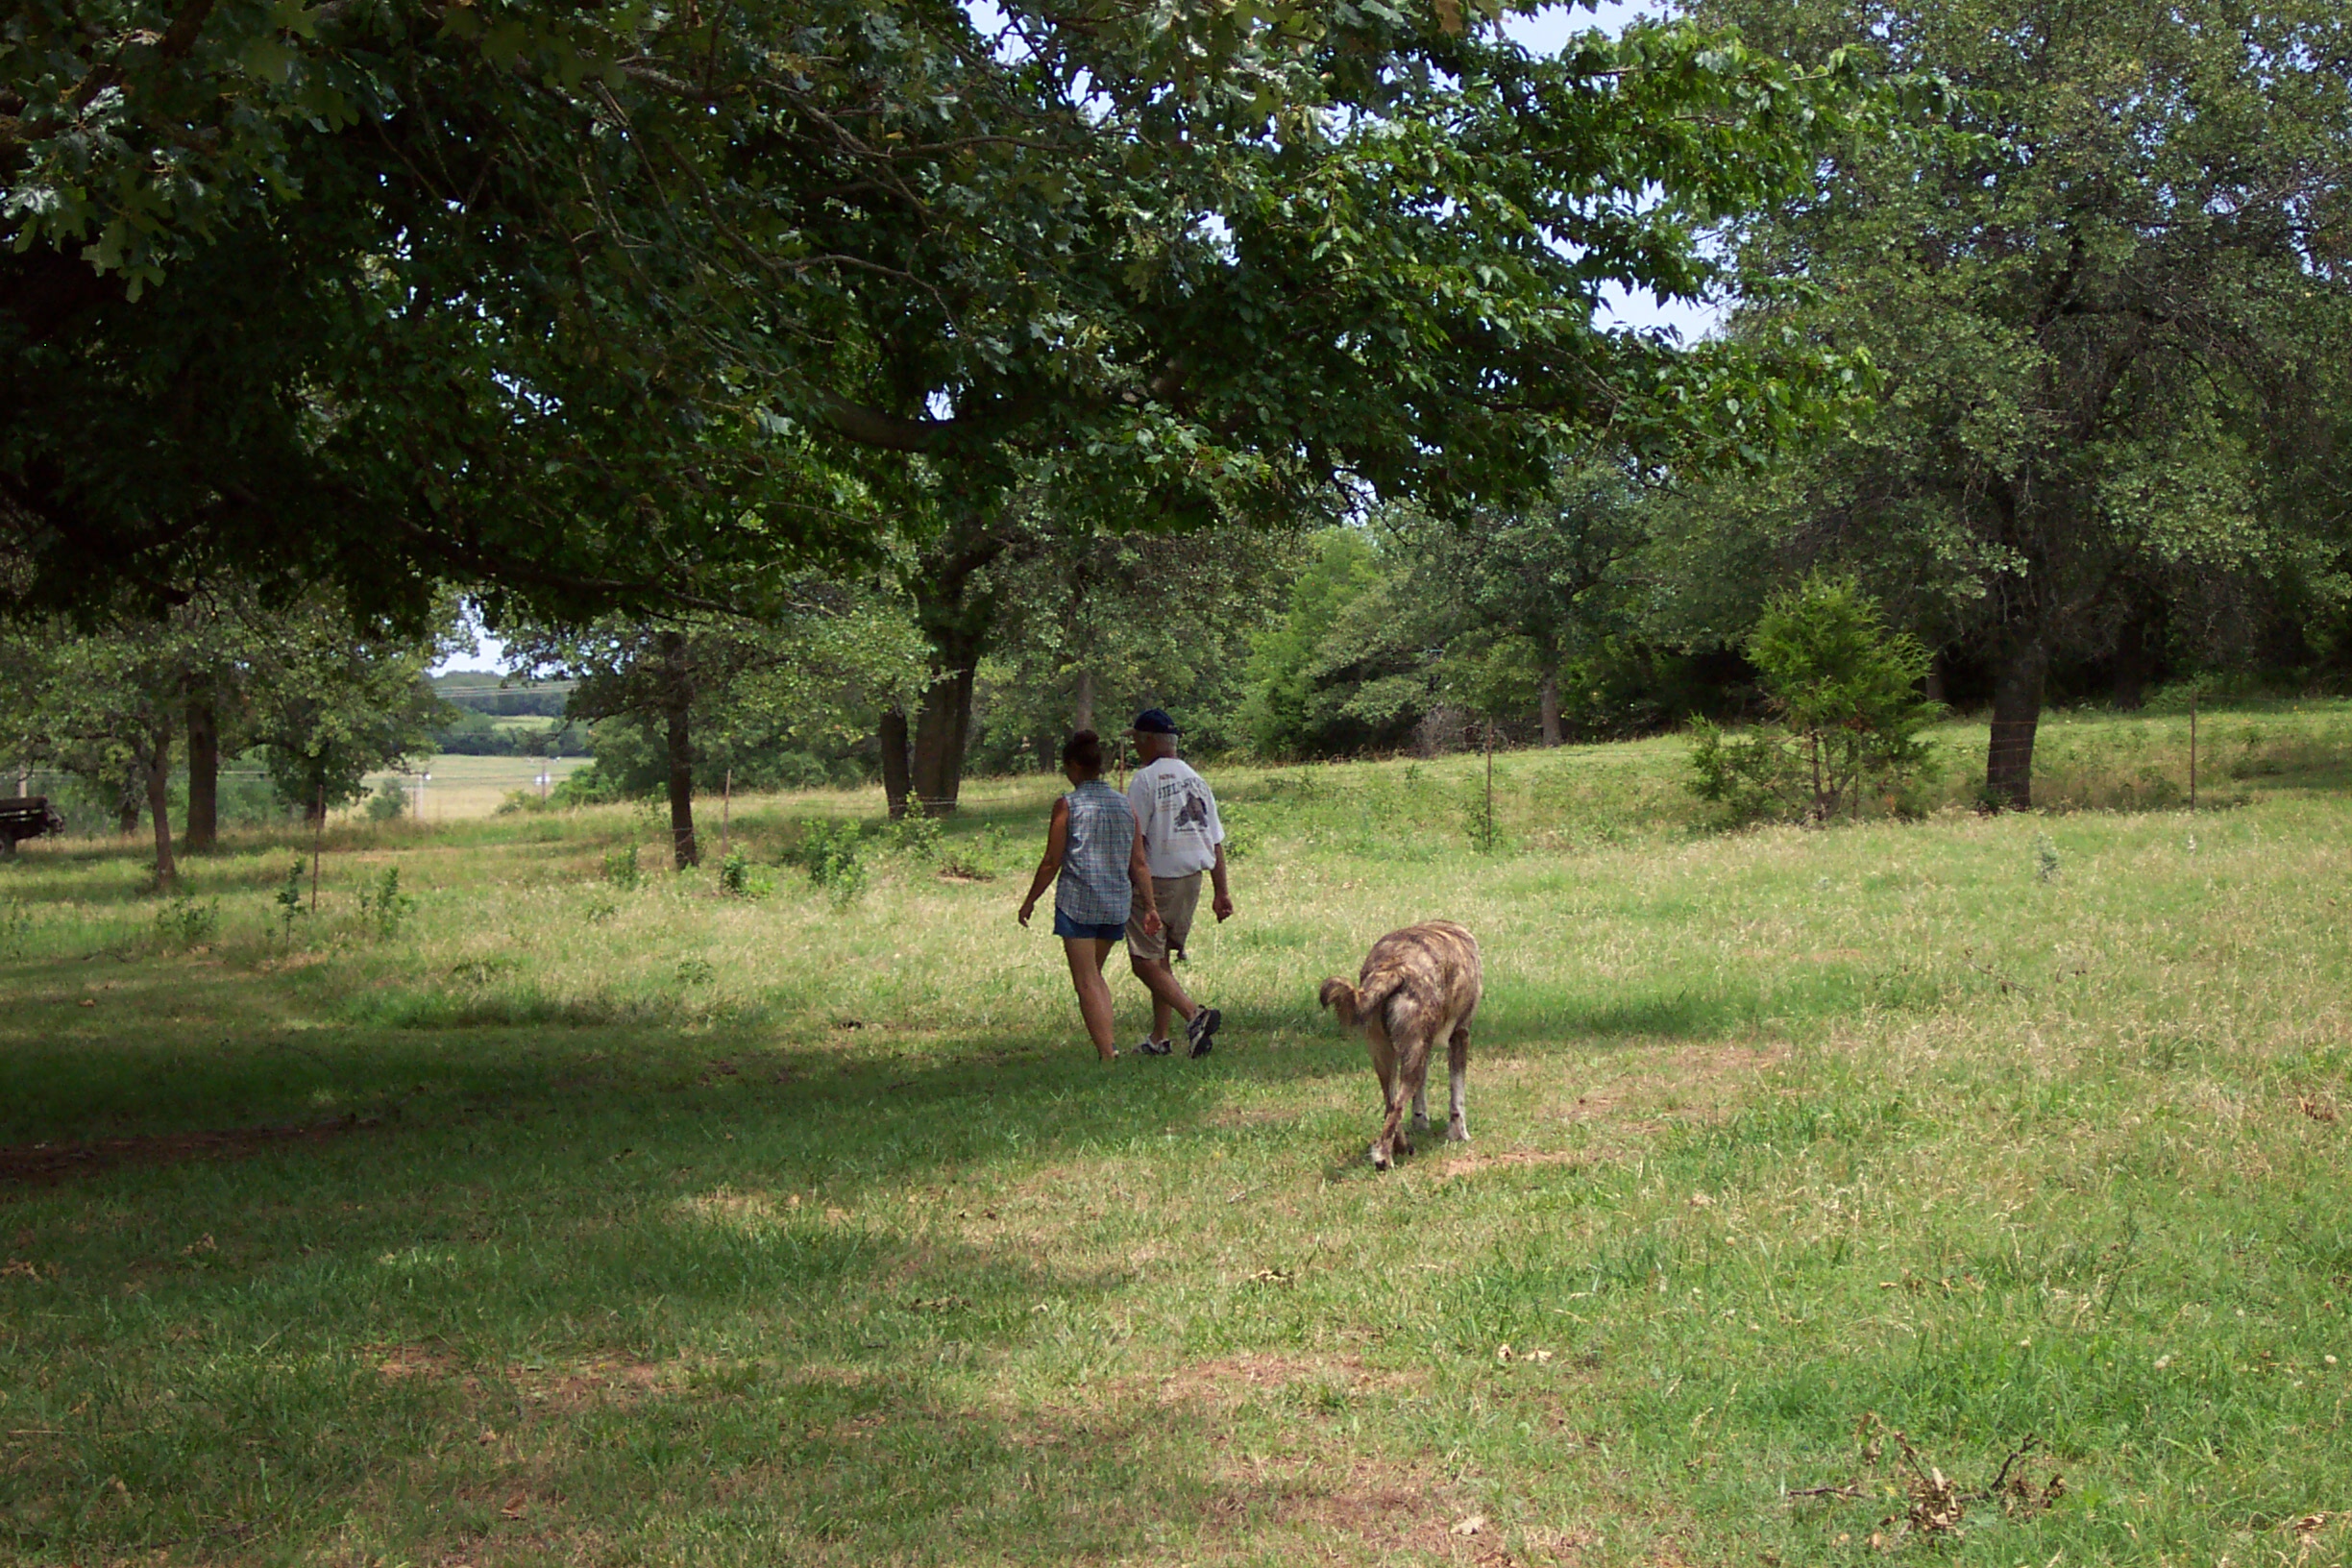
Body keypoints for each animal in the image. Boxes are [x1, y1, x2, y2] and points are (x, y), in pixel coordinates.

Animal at [1316, 921, 1477, 1165]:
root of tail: (1395, 967)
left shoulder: (1423, 1050)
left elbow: (1420, 1097)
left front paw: (1421, 1121)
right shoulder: (1460, 1036)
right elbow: (1457, 1098)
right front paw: (1460, 1135)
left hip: (1387, 1059)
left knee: (1390, 1107)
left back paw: (1400, 1147)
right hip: (1411, 1062)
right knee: (1396, 1108)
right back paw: (1383, 1158)